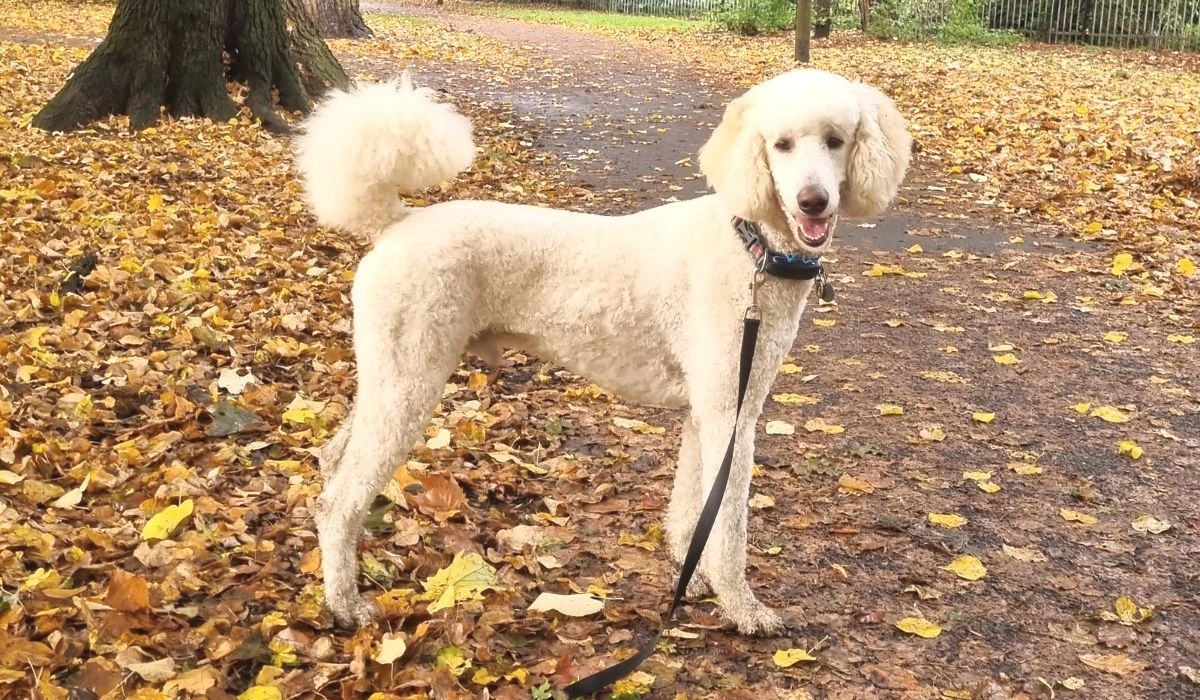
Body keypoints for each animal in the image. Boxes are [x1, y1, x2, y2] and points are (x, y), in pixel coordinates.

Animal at [292, 67, 907, 633]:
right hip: (411, 377)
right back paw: (344, 603)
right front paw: (742, 607)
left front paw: (691, 576)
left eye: (836, 140)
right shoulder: (730, 412)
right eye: (780, 145)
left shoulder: (705, 412)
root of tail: (396, 223)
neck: (750, 245)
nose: (813, 201)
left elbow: (693, 509)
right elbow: (728, 523)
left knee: (333, 460)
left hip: (389, 371)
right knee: (340, 500)